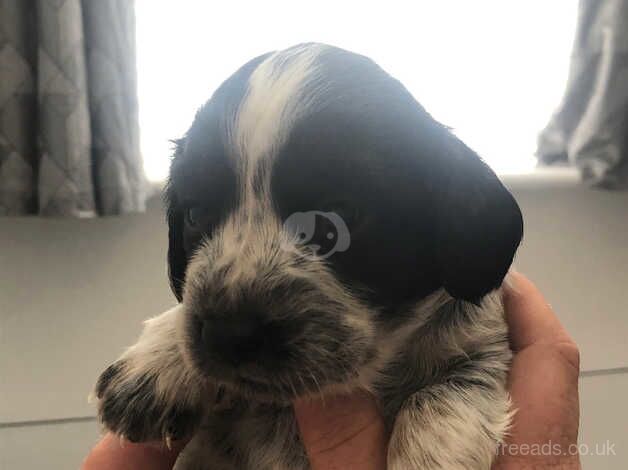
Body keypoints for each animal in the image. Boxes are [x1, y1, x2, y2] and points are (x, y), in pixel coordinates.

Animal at [94, 44, 524, 470]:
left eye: (338, 215)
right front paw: (158, 361)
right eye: (194, 214)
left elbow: (441, 396)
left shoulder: (479, 353)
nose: (227, 334)